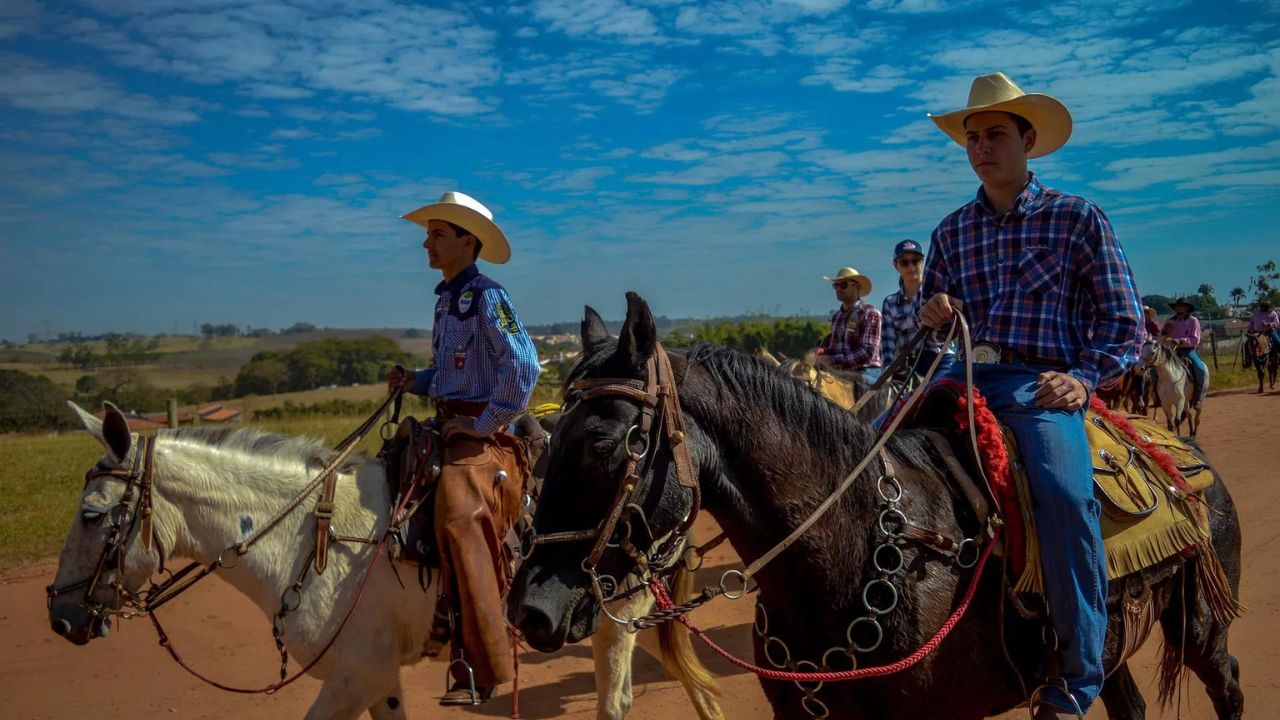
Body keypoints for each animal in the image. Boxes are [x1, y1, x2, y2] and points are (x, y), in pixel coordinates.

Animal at [47, 404, 721, 717]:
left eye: (91, 515)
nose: (59, 616)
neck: (307, 541)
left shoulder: (356, 676)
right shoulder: (377, 678)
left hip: (614, 616)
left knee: (617, 700)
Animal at [506, 293, 1239, 717]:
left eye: (605, 443)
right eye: (545, 443)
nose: (529, 611)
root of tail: (1177, 453)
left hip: (1199, 626)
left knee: (1225, 682)